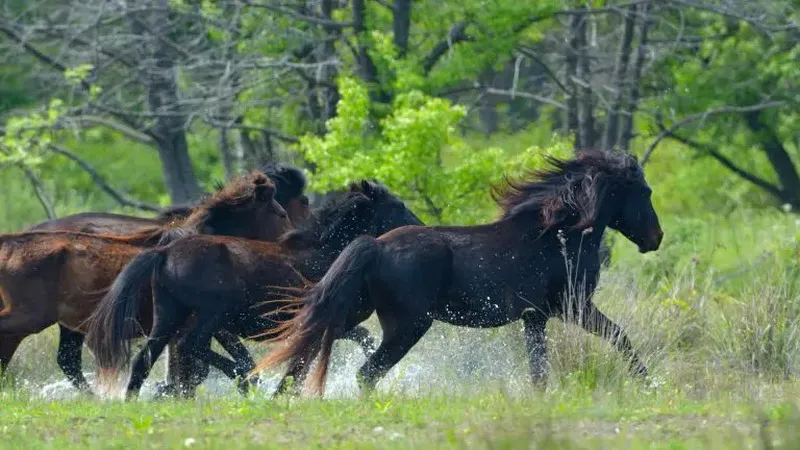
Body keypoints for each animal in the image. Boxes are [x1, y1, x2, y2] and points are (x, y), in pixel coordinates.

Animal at [85, 179, 424, 398]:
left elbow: (349, 342)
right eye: (399, 206)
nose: (421, 228)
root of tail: (164, 252)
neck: (326, 254)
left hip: (168, 315)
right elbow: (331, 347)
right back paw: (244, 379)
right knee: (190, 346)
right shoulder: (331, 319)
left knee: (146, 358)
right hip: (210, 314)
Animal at [255, 149, 664, 396]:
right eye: (645, 192)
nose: (655, 238)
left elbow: (538, 367)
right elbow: (619, 337)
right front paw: (648, 384)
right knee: (366, 372)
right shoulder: (573, 307)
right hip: (408, 326)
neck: (558, 233)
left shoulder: (535, 317)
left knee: (313, 345)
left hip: (355, 311)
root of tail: (376, 245)